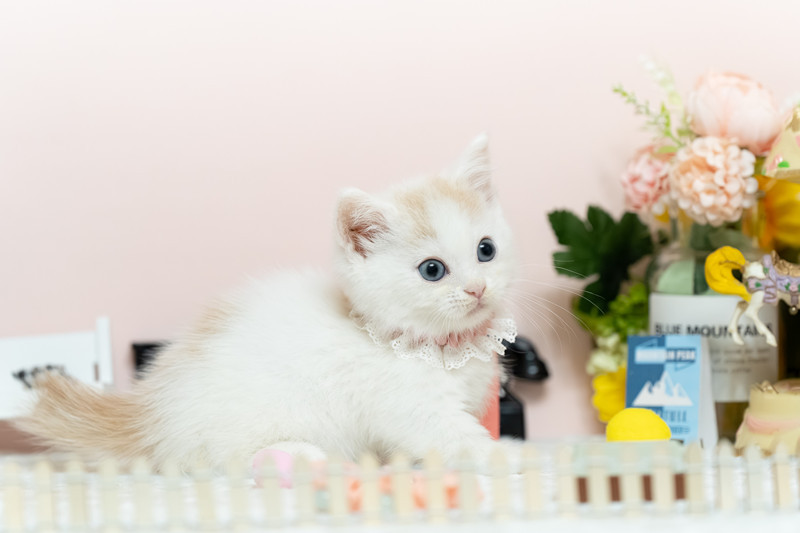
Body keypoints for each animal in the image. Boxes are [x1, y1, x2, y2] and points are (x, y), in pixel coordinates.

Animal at [14, 134, 518, 469]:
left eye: (486, 250)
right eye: (432, 270)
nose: (477, 289)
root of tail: (147, 414)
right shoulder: (412, 408)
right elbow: (453, 437)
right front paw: (502, 455)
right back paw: (301, 455)